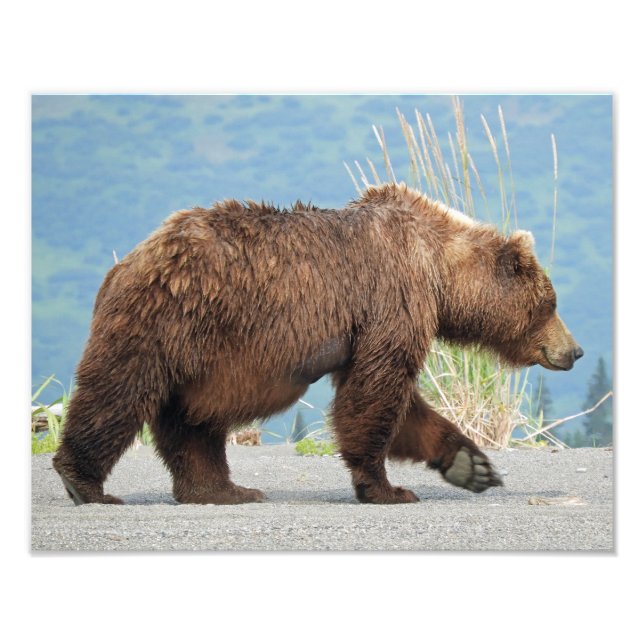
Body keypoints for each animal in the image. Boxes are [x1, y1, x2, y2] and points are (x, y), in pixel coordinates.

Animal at [52, 183, 583, 505]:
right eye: (551, 302)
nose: (574, 351)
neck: (439, 271)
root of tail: (127, 261)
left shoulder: (372, 322)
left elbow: (396, 402)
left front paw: (471, 465)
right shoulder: (393, 301)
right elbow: (376, 393)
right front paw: (387, 488)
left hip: (195, 349)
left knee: (190, 423)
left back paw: (223, 489)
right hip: (169, 319)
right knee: (119, 390)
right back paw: (86, 484)